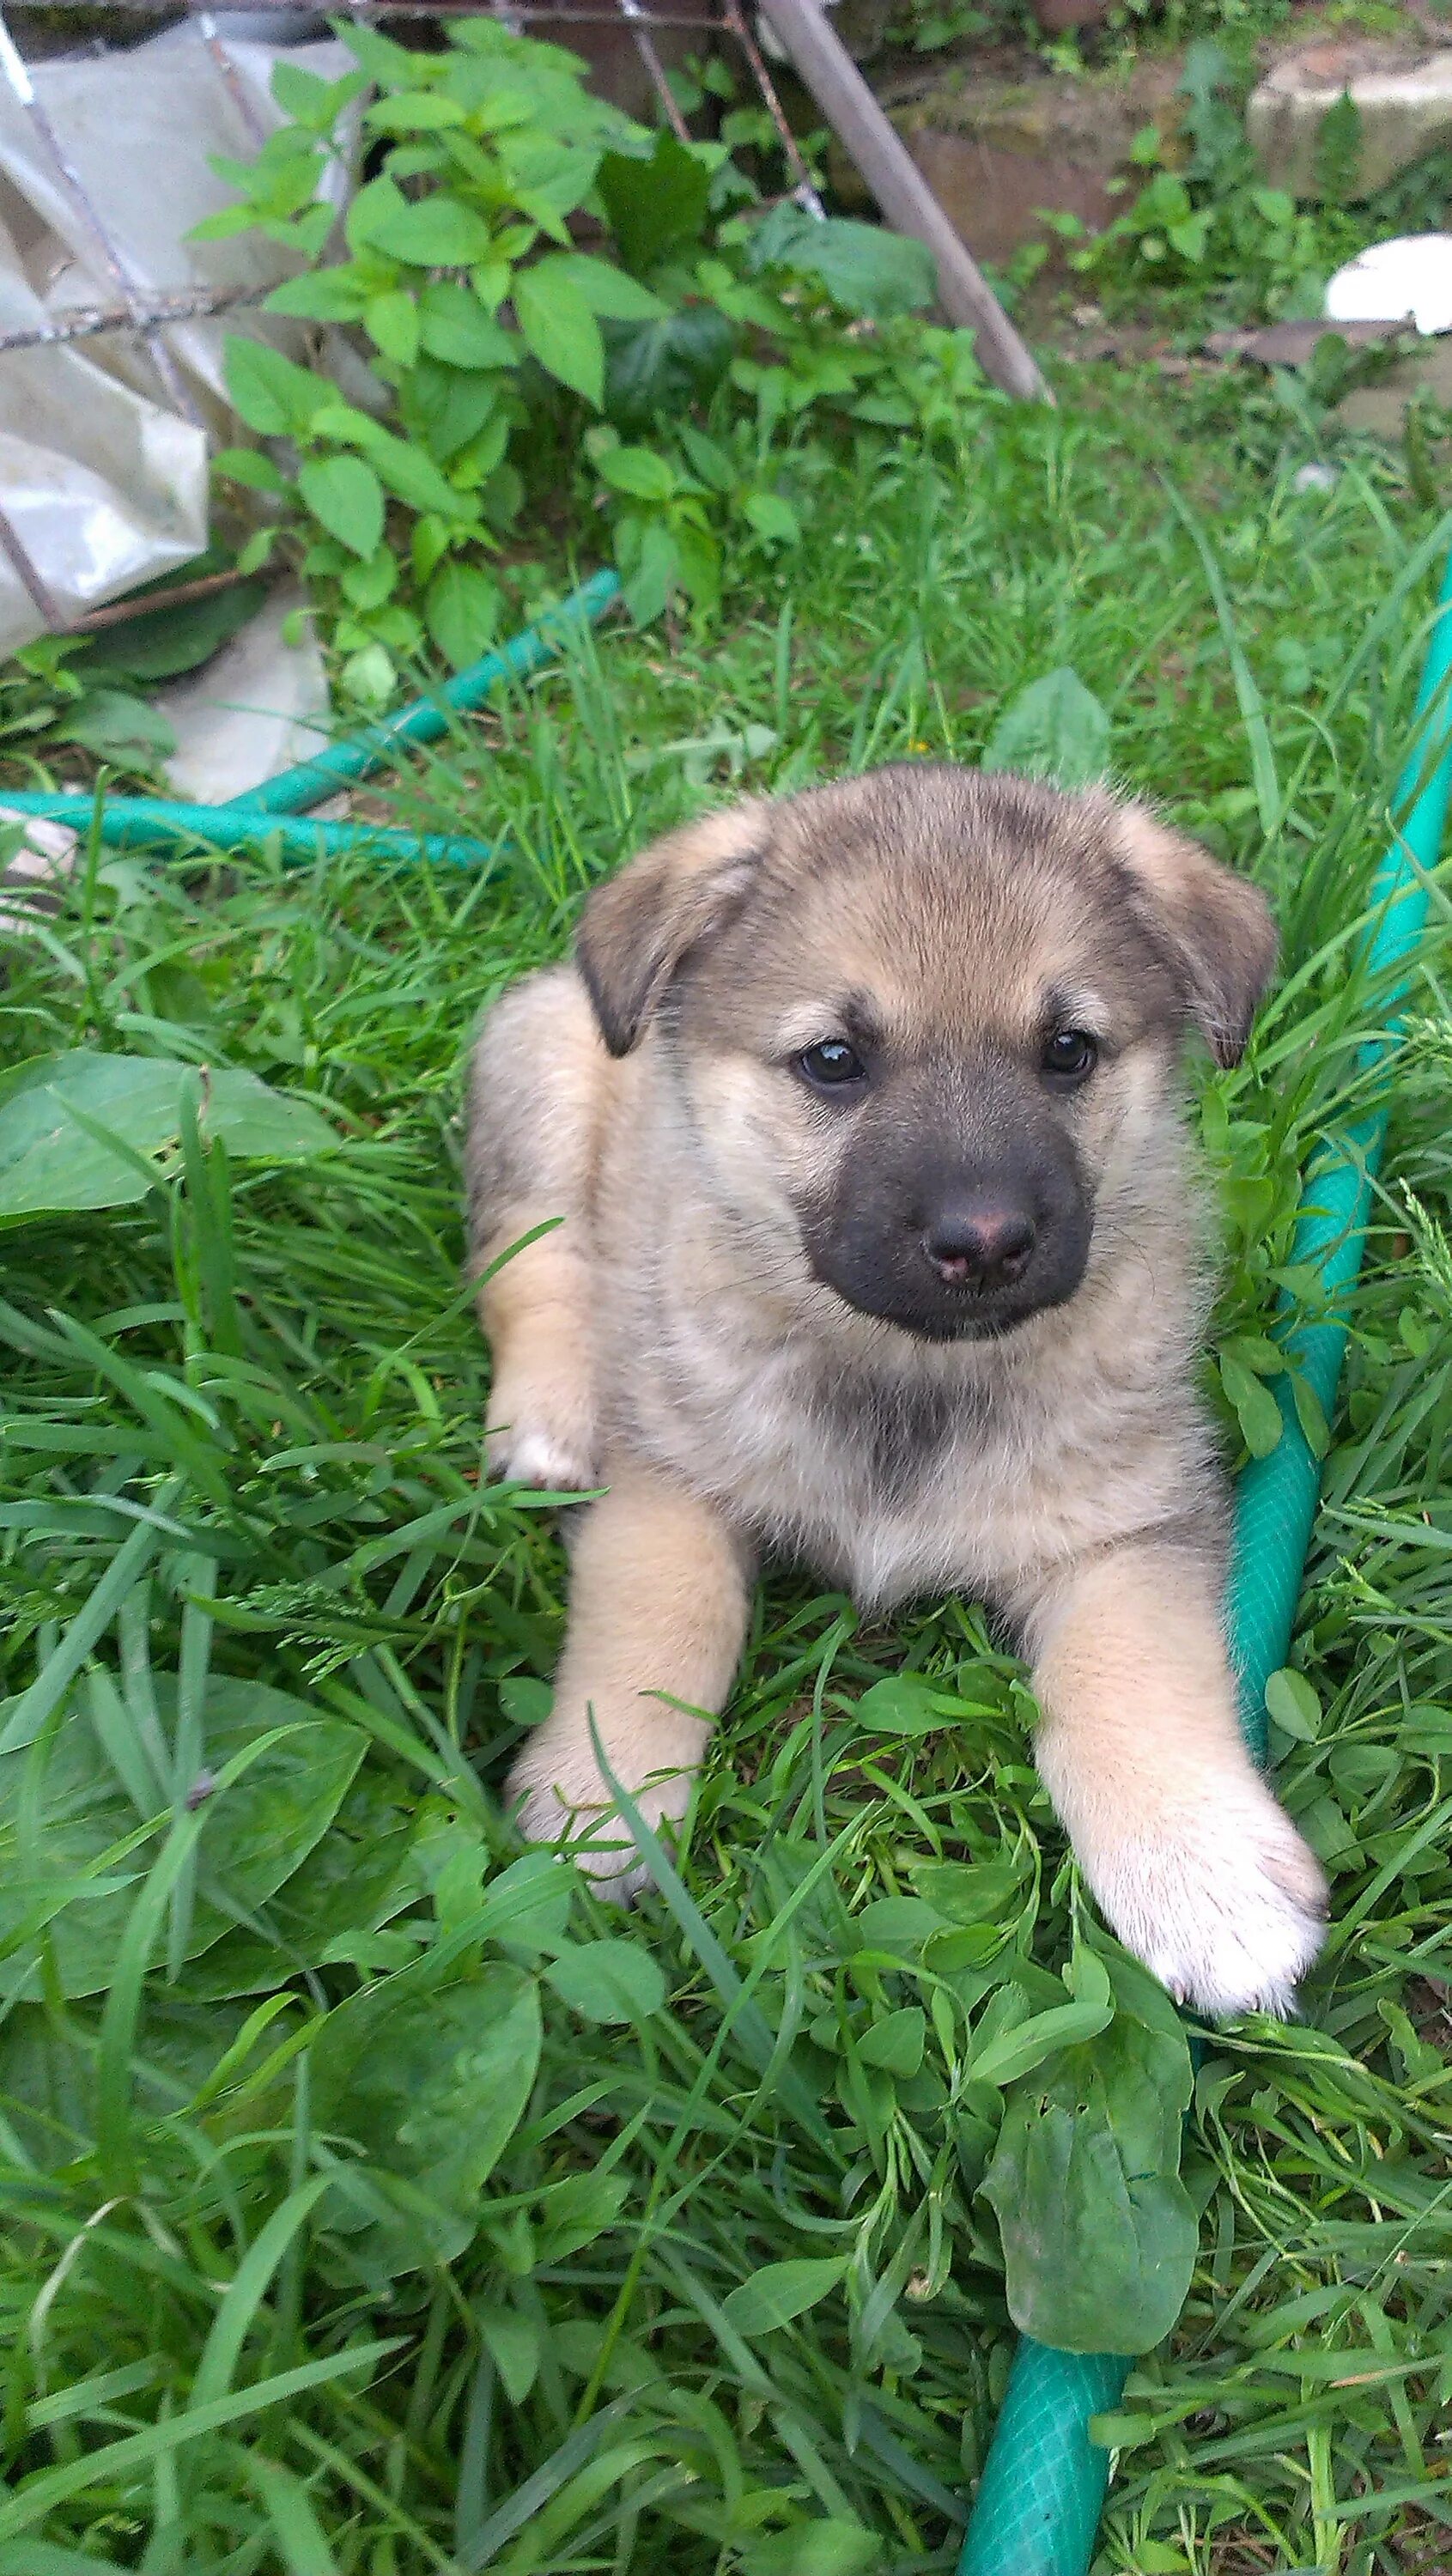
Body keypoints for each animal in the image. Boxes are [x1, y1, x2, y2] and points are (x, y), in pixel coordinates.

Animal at [465, 773, 1328, 2020]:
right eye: (832, 1059)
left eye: (1066, 1050)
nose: (984, 1241)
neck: (909, 1376)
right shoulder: (670, 1481)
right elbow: (657, 1621)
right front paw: (600, 1800)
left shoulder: (1125, 1528)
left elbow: (1128, 1678)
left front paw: (1200, 1873)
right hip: (542, 1076)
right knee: (529, 1262)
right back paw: (546, 1415)